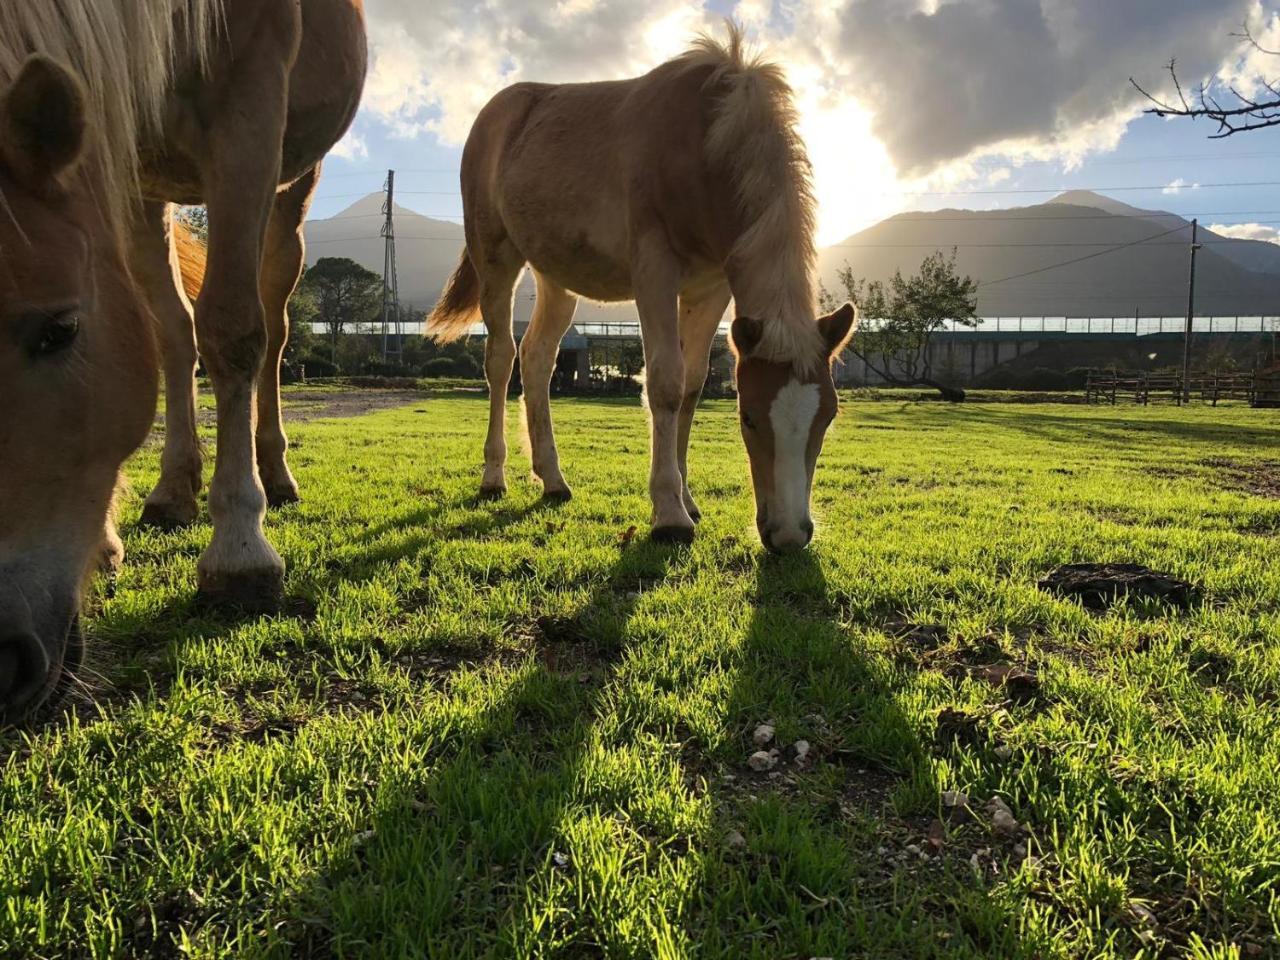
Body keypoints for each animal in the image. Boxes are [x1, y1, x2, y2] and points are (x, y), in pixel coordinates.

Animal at [1, 0, 371, 721]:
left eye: (61, 330)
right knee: (174, 332)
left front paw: (240, 553)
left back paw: (274, 474)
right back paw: (173, 490)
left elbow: (234, 331)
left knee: (273, 327)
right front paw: (110, 540)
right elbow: (173, 334)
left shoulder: (249, 109)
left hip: (290, 186)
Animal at [424, 26, 855, 552]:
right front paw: (670, 513)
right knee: (502, 360)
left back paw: (553, 479)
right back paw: (494, 476)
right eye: (748, 417)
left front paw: (687, 499)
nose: (790, 535)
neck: (704, 144)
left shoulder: (710, 288)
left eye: (828, 416)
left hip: (555, 275)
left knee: (538, 358)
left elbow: (691, 386)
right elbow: (665, 382)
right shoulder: (655, 270)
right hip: (496, 260)